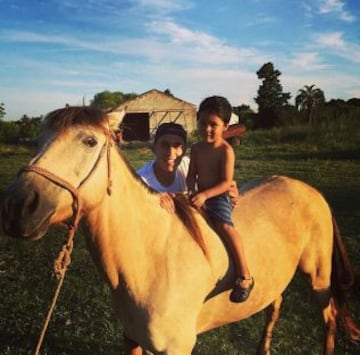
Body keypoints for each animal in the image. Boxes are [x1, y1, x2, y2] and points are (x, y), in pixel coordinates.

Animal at [0, 107, 358, 354]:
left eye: (89, 141)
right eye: (38, 141)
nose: (17, 207)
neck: (151, 260)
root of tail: (310, 190)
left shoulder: (177, 347)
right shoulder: (132, 338)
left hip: (318, 278)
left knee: (329, 317)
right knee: (275, 302)